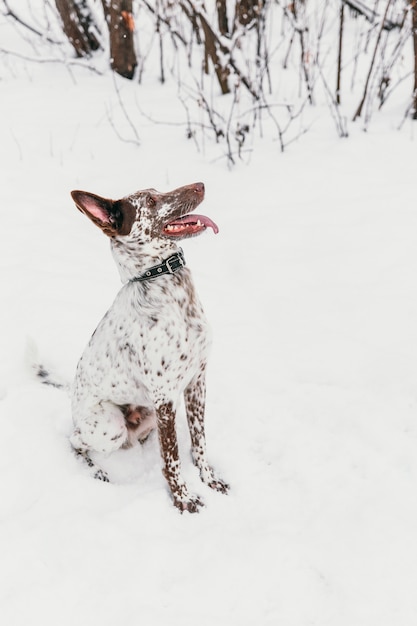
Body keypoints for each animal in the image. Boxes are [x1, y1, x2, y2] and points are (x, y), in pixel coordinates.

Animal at [68, 178, 228, 510]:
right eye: (150, 202)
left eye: (157, 192)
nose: (200, 184)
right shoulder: (165, 397)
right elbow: (172, 456)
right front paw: (183, 499)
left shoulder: (197, 381)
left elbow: (199, 440)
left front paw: (208, 478)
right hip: (111, 425)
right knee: (75, 440)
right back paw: (95, 470)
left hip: (149, 412)